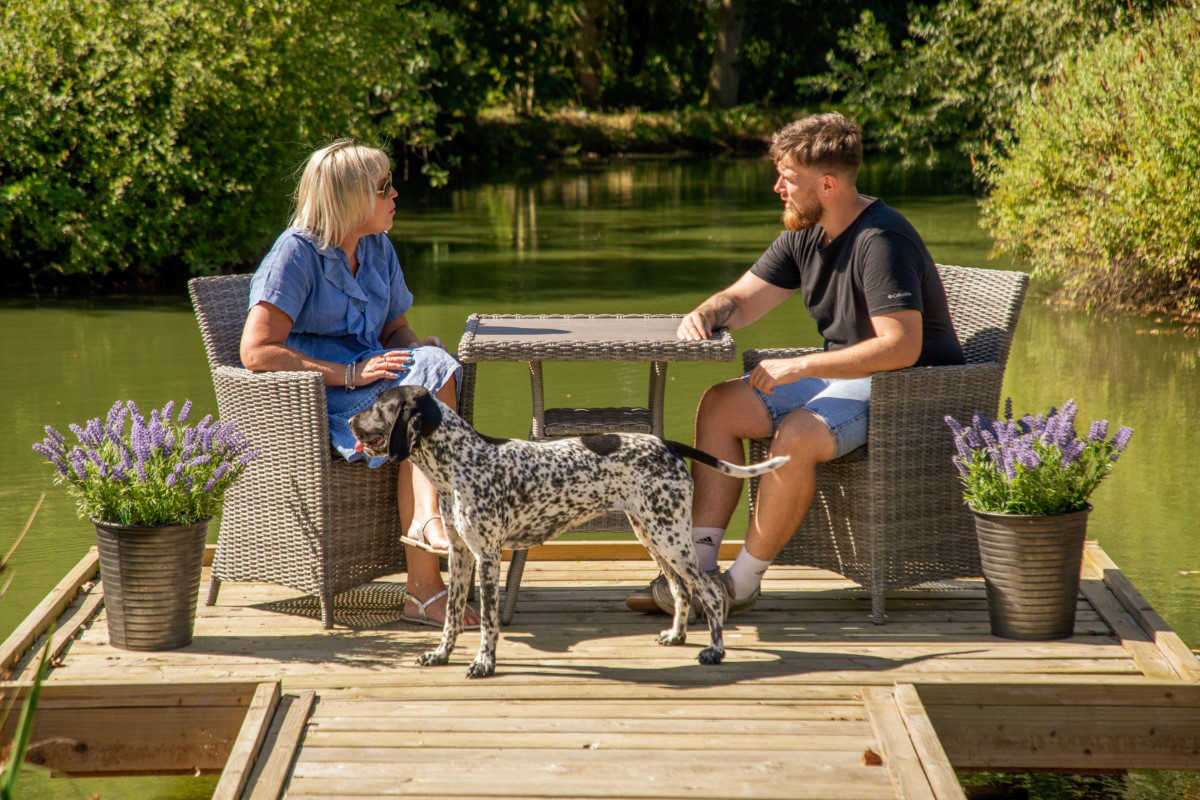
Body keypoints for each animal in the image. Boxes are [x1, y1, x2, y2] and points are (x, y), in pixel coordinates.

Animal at [350, 383, 792, 681]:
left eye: (379, 405)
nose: (351, 420)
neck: (460, 461)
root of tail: (666, 444)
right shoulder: (460, 555)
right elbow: (452, 617)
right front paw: (440, 655)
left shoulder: (488, 557)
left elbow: (489, 622)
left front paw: (484, 663)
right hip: (653, 535)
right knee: (682, 591)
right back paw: (676, 637)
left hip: (670, 538)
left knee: (711, 594)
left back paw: (714, 652)